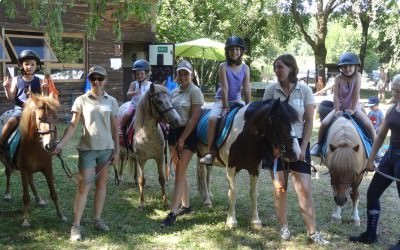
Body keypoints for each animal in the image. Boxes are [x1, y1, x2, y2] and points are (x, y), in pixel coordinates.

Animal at [0, 94, 66, 228]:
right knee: (8, 173)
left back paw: (39, 199)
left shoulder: (47, 169)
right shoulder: (24, 171)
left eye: (55, 118)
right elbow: (26, 197)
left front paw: (61, 215)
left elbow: (54, 194)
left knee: (30, 180)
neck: (35, 146)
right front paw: (25, 221)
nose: (51, 146)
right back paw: (7, 194)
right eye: (39, 118)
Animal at [197, 98, 300, 229]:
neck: (244, 136)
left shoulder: (254, 169)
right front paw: (231, 221)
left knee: (208, 174)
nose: (296, 153)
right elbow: (232, 192)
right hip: (199, 154)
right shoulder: (231, 168)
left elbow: (253, 193)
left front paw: (255, 221)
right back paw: (207, 201)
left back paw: (208, 195)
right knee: (202, 173)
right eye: (280, 121)